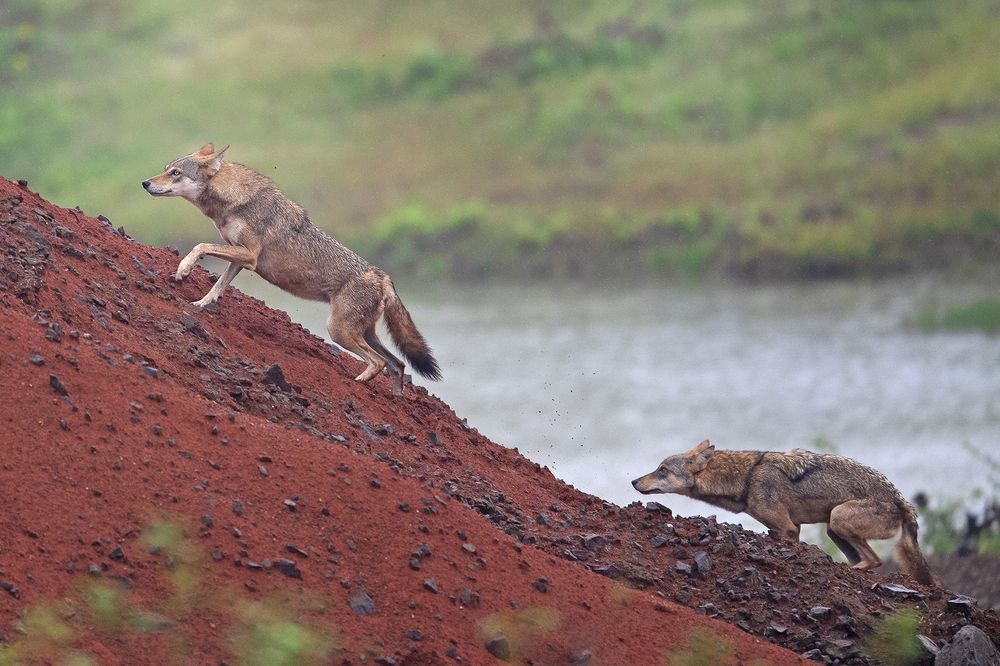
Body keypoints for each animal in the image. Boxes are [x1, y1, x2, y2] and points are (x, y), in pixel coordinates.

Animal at [142, 143, 441, 395]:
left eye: (175, 173)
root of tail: (383, 276)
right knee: (397, 364)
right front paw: (201, 303)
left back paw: (359, 381)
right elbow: (218, 285)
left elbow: (199, 246)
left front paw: (183, 269)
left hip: (339, 331)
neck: (233, 200)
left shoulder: (248, 256)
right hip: (362, 333)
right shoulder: (239, 259)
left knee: (379, 362)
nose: (145, 183)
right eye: (166, 169)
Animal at [632, 440, 935, 585]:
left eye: (662, 470)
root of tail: (900, 499)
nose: (633, 481)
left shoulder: (785, 529)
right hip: (833, 530)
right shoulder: (793, 528)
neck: (746, 478)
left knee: (873, 560)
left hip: (837, 518)